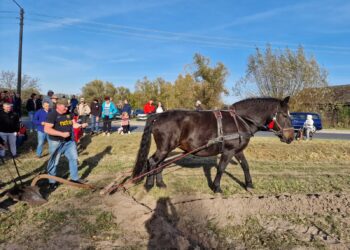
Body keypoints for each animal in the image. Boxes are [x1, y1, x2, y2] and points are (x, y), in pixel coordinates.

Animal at [133, 96, 294, 192]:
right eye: (285, 115)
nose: (291, 137)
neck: (241, 119)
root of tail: (159, 115)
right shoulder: (228, 151)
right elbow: (221, 168)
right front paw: (216, 187)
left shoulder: (238, 150)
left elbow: (245, 166)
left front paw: (249, 184)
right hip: (165, 147)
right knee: (152, 162)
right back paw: (149, 185)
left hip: (166, 148)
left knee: (159, 164)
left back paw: (160, 184)